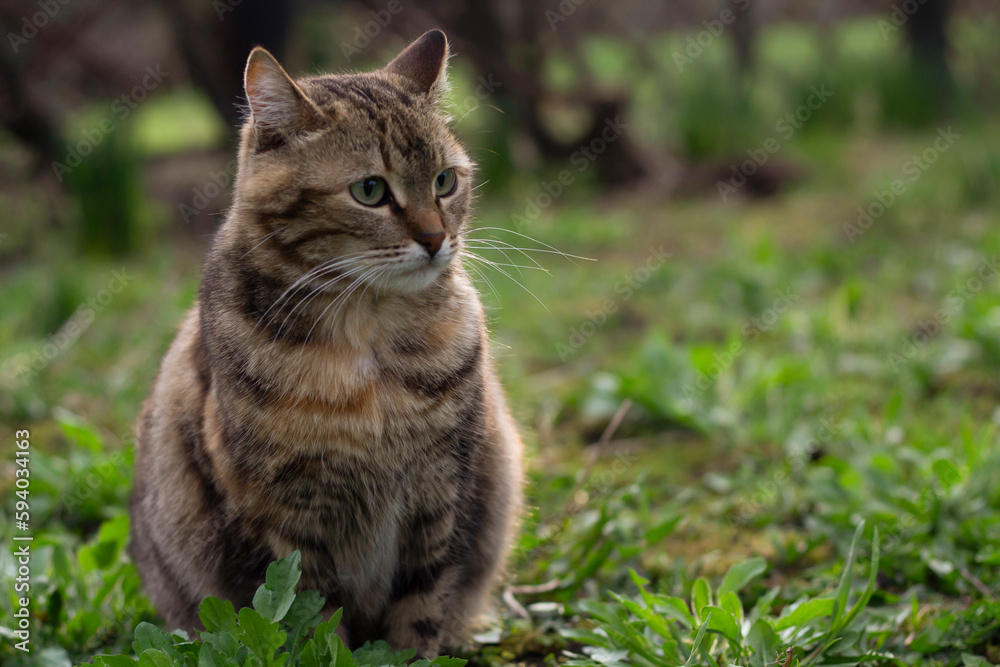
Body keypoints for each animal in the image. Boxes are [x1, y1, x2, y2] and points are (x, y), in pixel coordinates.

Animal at [127, 31, 524, 656]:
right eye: (370, 190)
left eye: (445, 181)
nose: (437, 238)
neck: (370, 344)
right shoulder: (281, 517)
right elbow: (309, 617)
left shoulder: (440, 492)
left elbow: (421, 606)